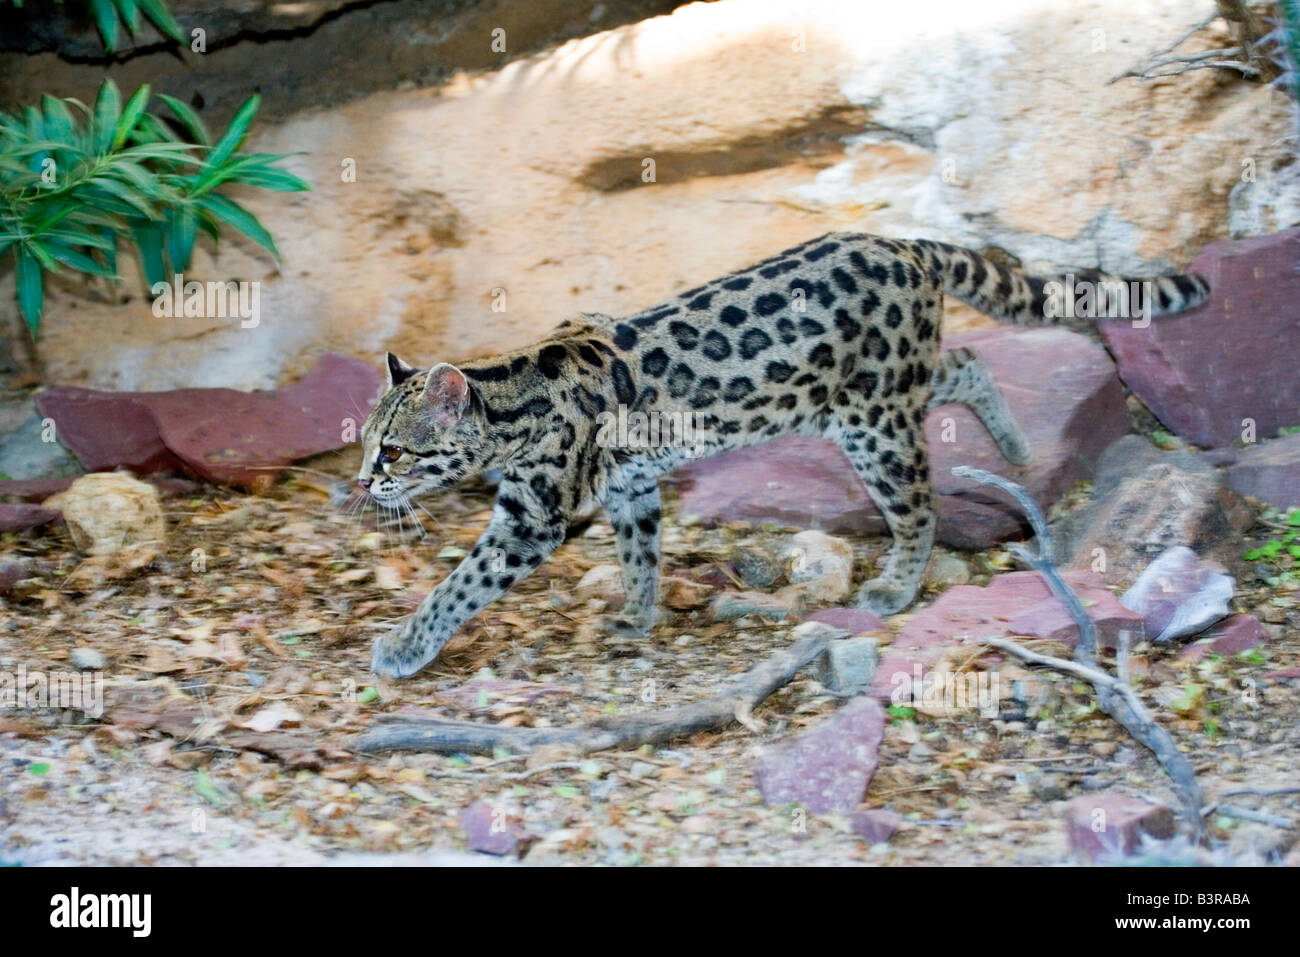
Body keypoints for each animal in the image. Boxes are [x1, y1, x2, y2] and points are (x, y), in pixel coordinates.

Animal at [358, 234, 1206, 676]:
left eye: (396, 451)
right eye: (366, 442)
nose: (363, 482)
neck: (512, 389)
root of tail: (903, 240)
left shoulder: (531, 518)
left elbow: (461, 583)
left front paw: (404, 644)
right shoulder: (632, 486)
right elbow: (640, 550)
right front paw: (637, 613)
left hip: (872, 421)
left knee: (918, 505)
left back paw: (897, 583)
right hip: (891, 386)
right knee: (964, 361)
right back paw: (1014, 439)